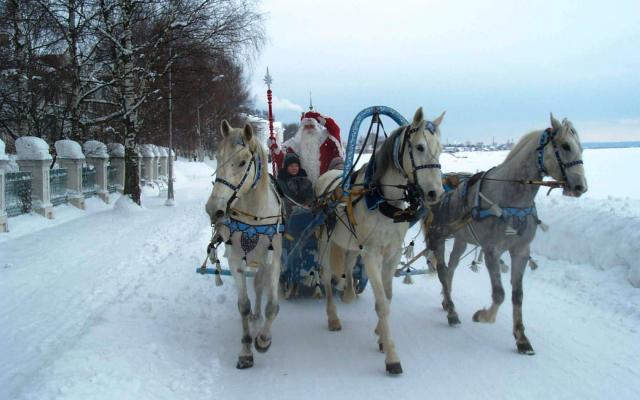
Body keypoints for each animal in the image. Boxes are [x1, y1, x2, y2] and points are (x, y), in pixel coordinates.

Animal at [206, 121, 284, 368]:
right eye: (218, 157)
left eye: (241, 162)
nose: (214, 209)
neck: (254, 219)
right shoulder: (235, 262)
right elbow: (243, 305)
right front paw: (246, 349)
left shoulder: (273, 261)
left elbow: (272, 305)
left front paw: (263, 340)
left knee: (259, 287)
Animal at [316, 107, 444, 376]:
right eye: (419, 147)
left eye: (440, 148)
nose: (435, 193)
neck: (382, 200)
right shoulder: (372, 254)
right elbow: (382, 303)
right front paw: (392, 355)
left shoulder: (392, 253)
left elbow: (387, 295)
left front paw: (380, 335)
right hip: (325, 240)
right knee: (326, 275)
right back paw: (333, 316)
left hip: (352, 243)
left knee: (347, 263)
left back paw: (348, 292)